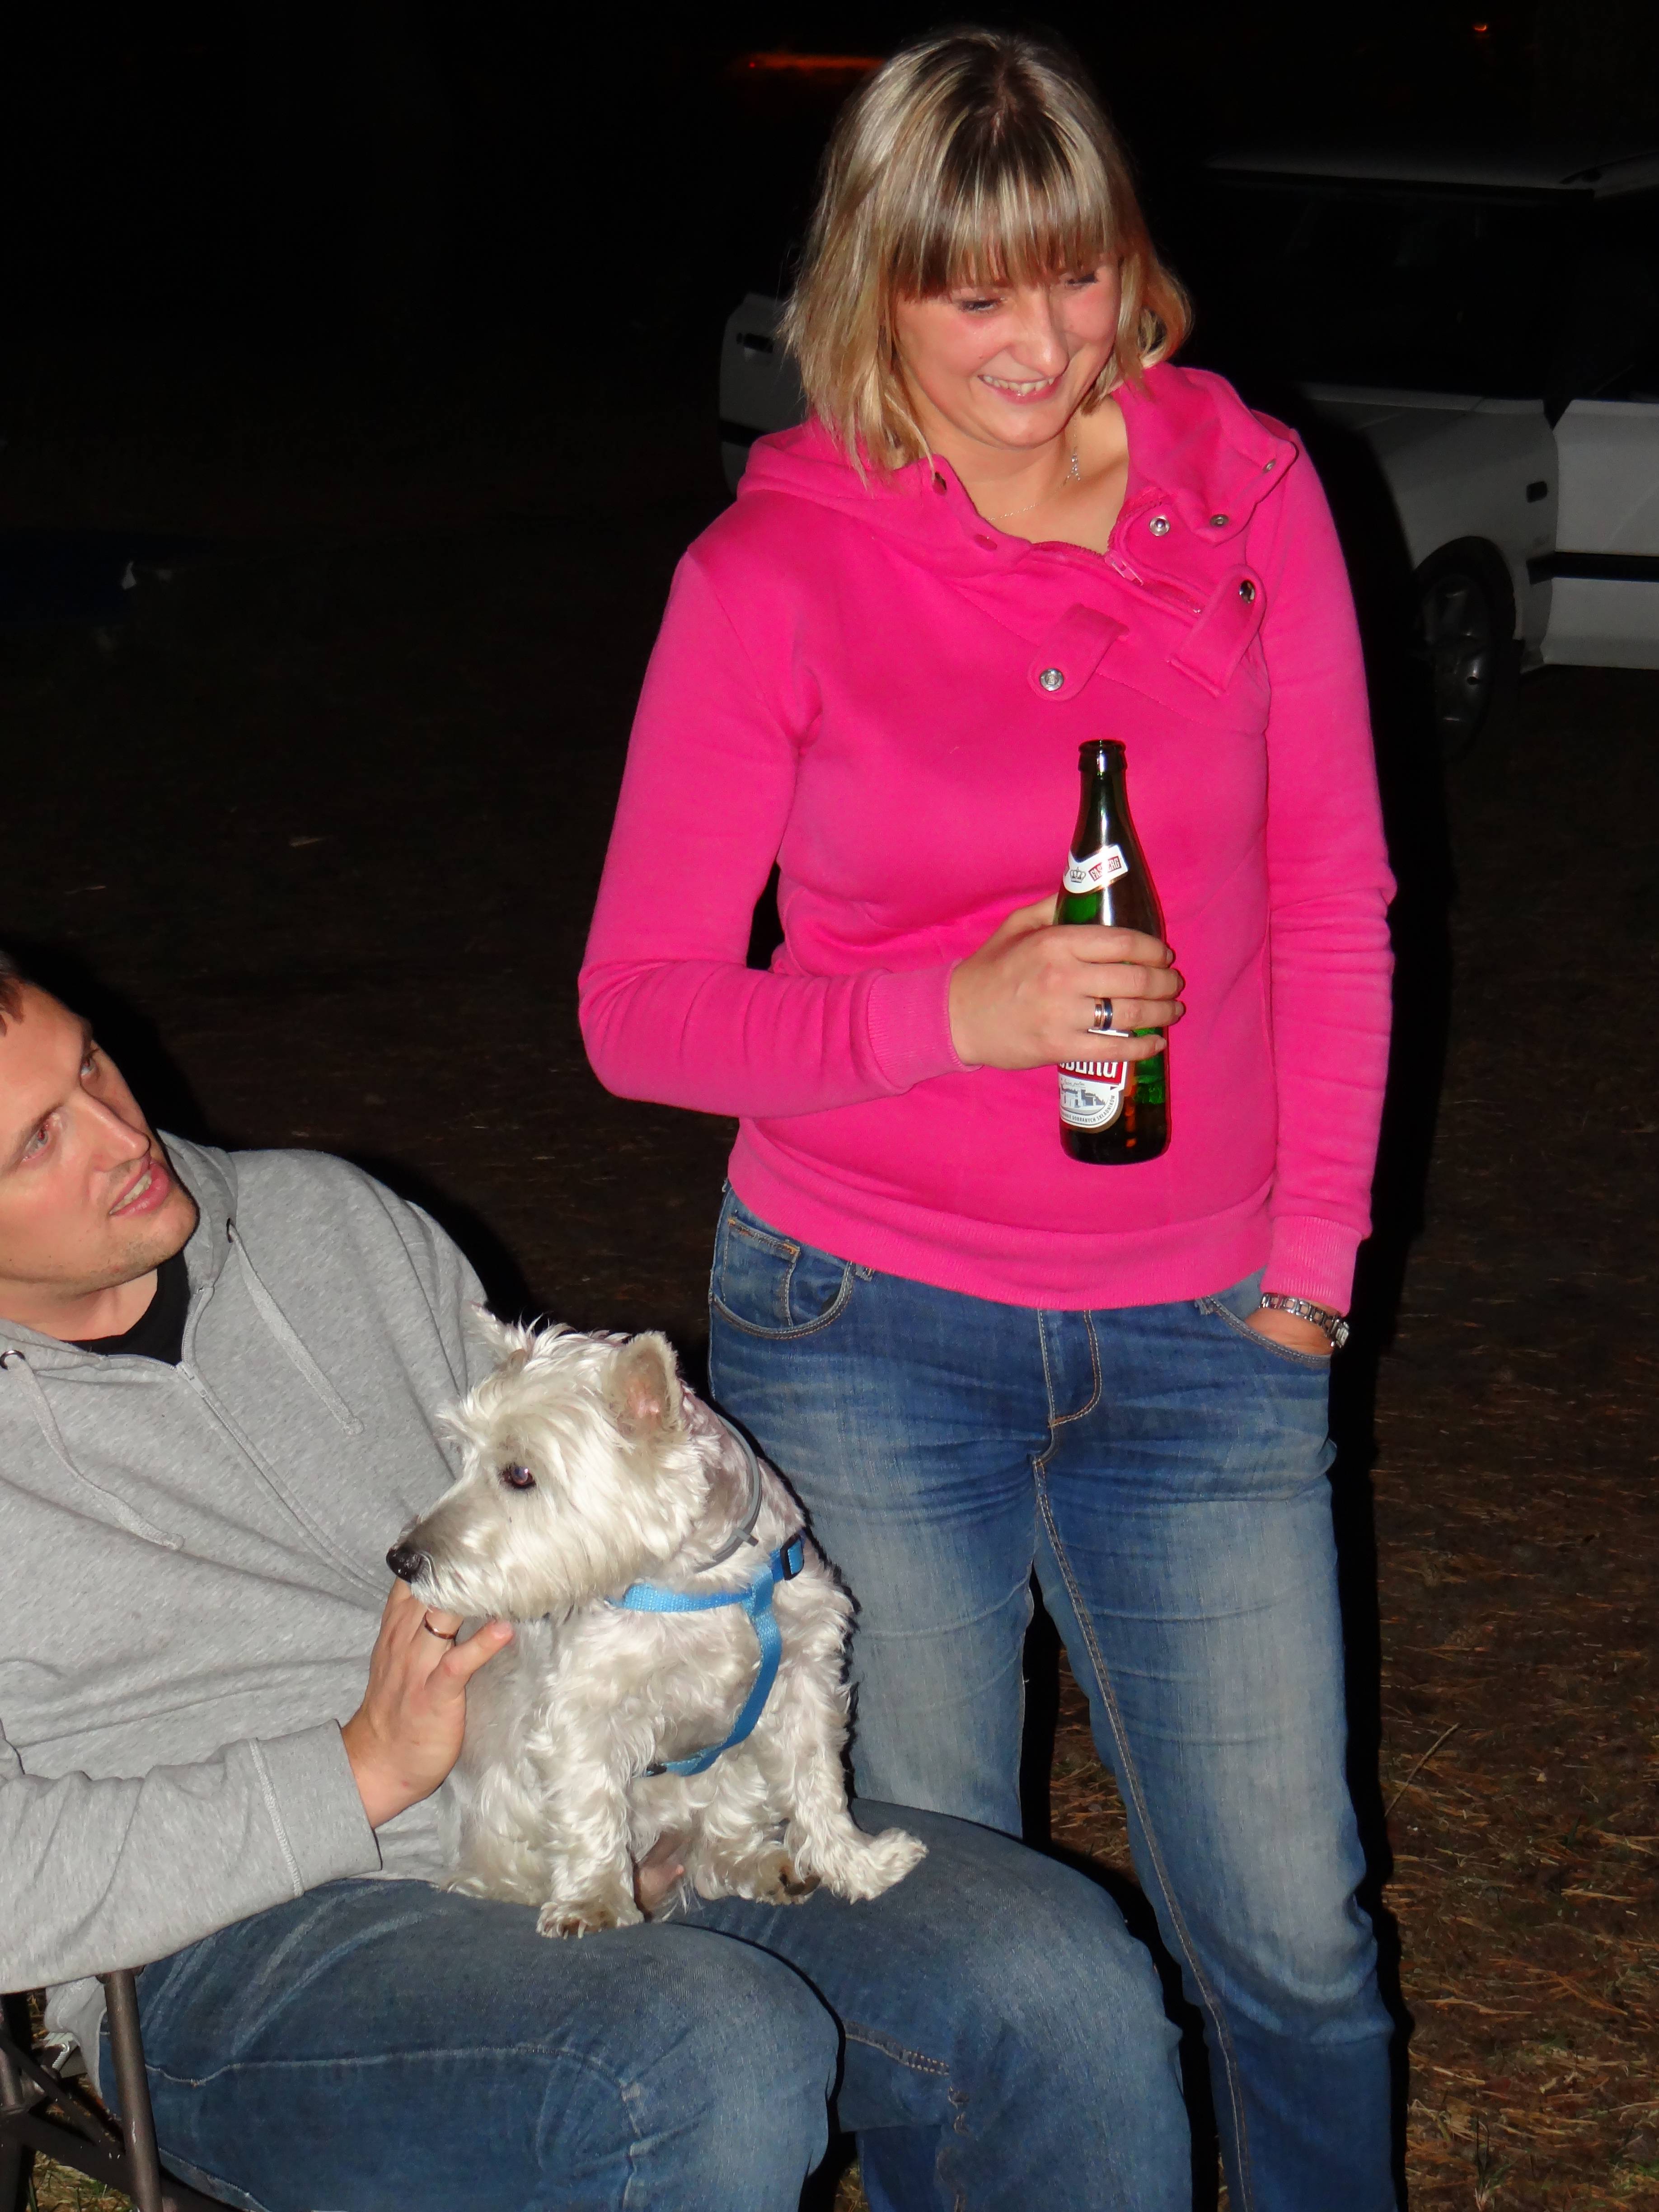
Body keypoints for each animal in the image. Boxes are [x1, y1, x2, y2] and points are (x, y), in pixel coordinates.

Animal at [387, 1314, 925, 1937]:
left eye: (519, 1474)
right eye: (464, 1457)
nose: (402, 1561)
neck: (705, 1584)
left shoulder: (803, 1677)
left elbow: (819, 1781)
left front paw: (859, 1865)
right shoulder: (581, 1707)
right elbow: (589, 1805)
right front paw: (592, 1901)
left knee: (719, 1844)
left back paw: (766, 1865)